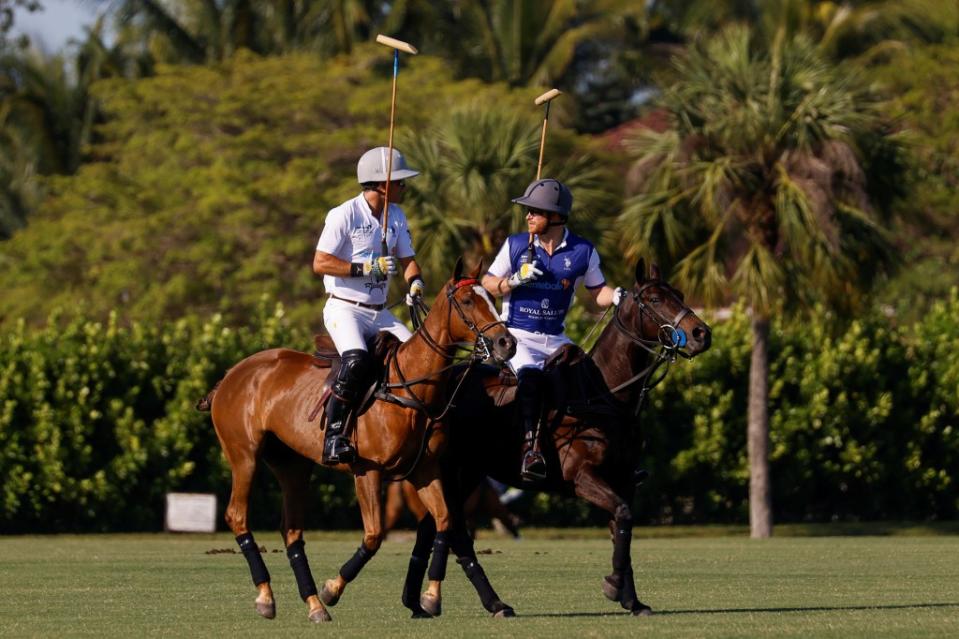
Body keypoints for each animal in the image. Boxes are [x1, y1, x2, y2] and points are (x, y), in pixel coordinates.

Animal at [202, 258, 512, 624]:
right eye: (467, 301)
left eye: (491, 297)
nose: (507, 343)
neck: (411, 387)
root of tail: (227, 377)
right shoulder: (368, 471)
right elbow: (375, 536)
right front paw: (333, 589)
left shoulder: (425, 470)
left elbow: (445, 522)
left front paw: (431, 597)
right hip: (244, 455)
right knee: (237, 516)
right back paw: (268, 596)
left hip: (292, 464)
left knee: (291, 528)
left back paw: (314, 606)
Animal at [398, 258, 712, 616]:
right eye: (656, 300)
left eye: (680, 294)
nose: (702, 334)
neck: (603, 394)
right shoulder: (582, 476)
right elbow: (623, 515)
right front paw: (613, 585)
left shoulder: (624, 480)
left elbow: (622, 529)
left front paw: (632, 600)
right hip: (455, 470)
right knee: (452, 527)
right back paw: (486, 601)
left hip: (467, 472)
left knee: (434, 523)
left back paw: (420, 599)